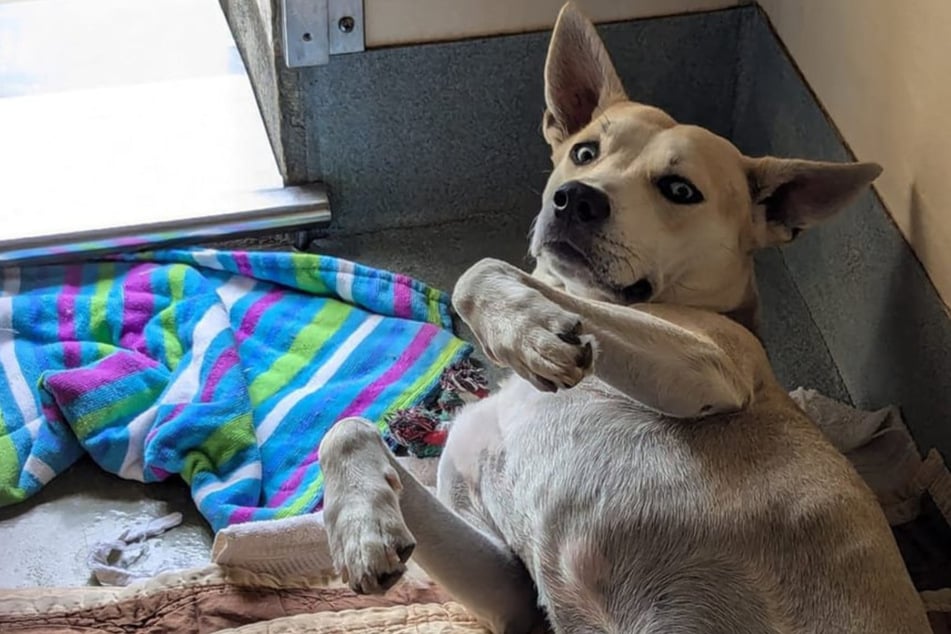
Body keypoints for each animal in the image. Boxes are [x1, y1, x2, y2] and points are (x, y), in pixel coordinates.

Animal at [318, 6, 928, 632]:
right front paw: (361, 529)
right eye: (586, 152)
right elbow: (345, 428)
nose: (575, 199)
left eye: (680, 189)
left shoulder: (710, 363)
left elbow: (480, 270)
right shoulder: (512, 596)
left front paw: (529, 331)